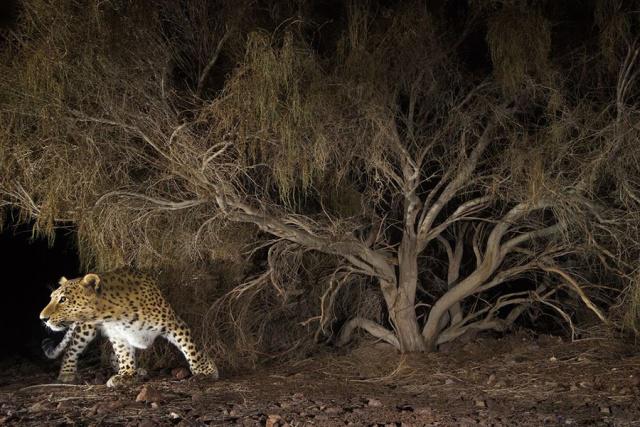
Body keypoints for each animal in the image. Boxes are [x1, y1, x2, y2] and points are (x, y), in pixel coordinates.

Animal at [40, 268, 220, 388]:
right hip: (85, 329)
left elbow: (190, 347)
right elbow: (124, 354)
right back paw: (67, 373)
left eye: (63, 299)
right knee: (72, 348)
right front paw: (126, 374)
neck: (113, 314)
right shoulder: (118, 335)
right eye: (51, 298)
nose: (42, 318)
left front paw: (204, 371)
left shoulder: (172, 323)